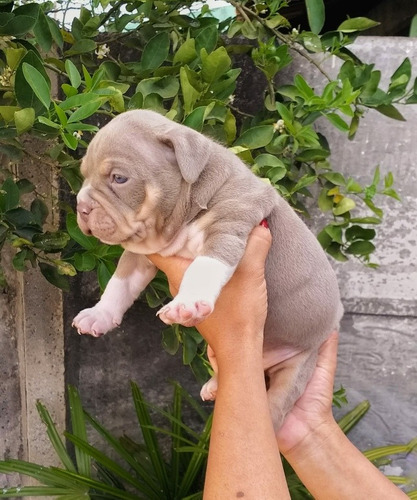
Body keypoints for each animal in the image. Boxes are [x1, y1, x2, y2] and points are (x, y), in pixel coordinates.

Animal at [72, 109, 342, 430]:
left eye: (119, 178)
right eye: (84, 176)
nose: (80, 207)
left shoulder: (230, 221)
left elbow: (205, 266)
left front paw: (185, 304)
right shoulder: (142, 253)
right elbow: (119, 283)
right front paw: (98, 315)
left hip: (300, 363)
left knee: (278, 404)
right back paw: (215, 385)